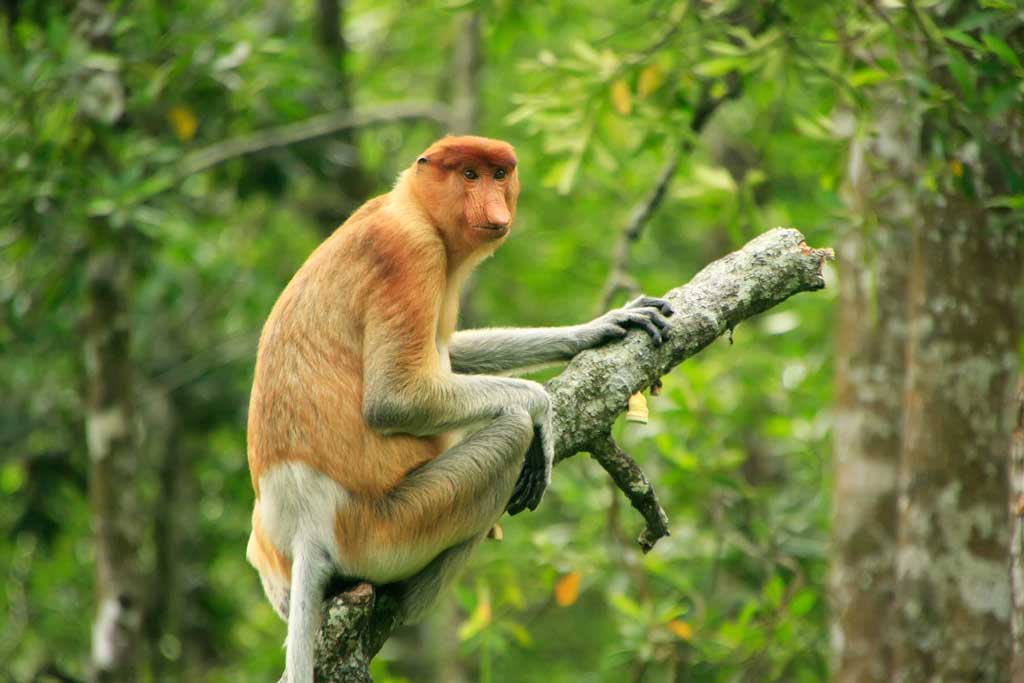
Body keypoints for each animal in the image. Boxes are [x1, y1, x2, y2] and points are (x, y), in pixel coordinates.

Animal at [244, 136, 675, 679]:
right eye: (469, 175)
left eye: (499, 175)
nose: (494, 206)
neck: (412, 206)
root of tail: (304, 524)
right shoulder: (412, 255)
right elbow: (395, 399)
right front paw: (543, 411)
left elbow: (453, 351)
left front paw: (604, 325)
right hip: (387, 529)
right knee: (510, 435)